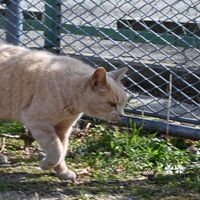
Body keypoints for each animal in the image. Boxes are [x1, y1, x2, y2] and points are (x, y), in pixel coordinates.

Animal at [0, 43, 128, 181]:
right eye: (112, 104)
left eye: (123, 103)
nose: (121, 115)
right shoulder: (37, 122)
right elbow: (57, 150)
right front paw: (46, 165)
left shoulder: (63, 129)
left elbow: (62, 150)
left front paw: (62, 172)